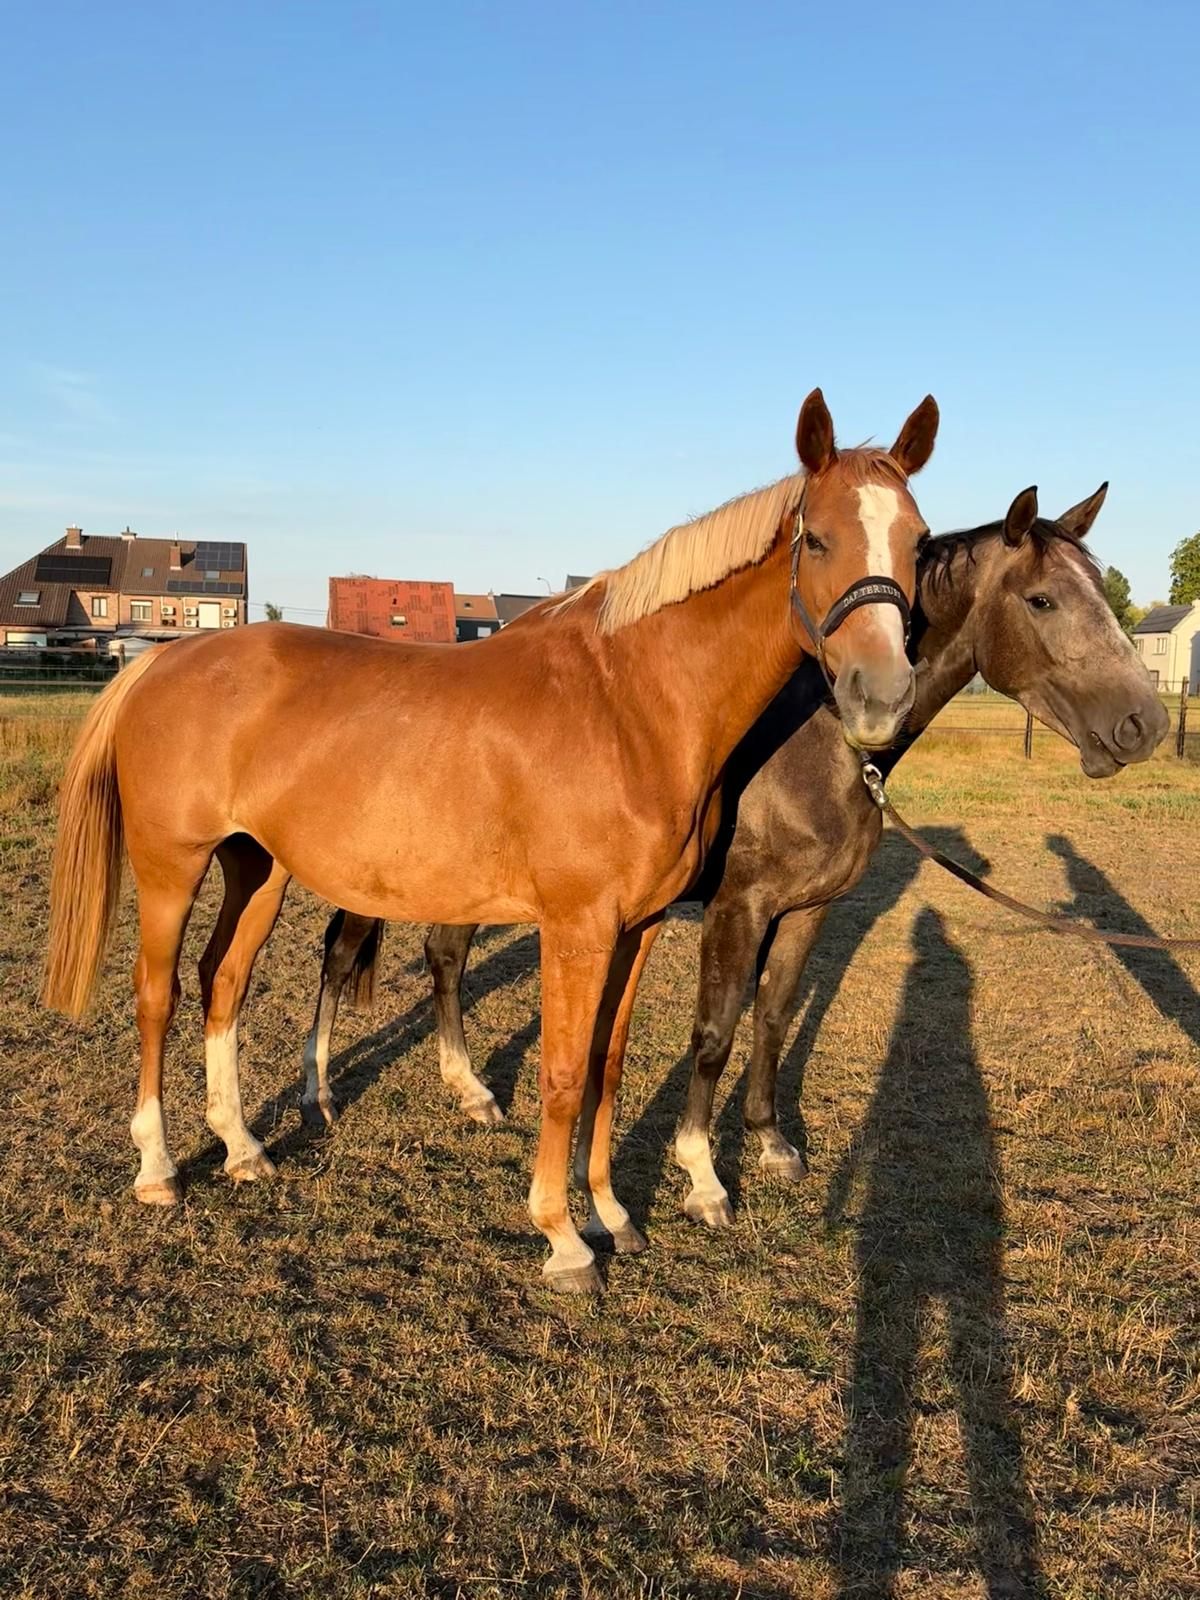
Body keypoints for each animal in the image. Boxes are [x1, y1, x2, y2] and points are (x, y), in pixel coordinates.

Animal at [43, 389, 938, 1291]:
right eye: (816, 538)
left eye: (919, 541)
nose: (881, 696)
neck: (631, 705)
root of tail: (160, 662)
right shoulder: (578, 927)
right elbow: (565, 1075)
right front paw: (564, 1239)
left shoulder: (639, 928)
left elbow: (609, 1065)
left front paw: (612, 1213)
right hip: (172, 868)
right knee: (157, 996)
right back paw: (158, 1168)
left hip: (257, 869)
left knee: (223, 982)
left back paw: (241, 1148)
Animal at [309, 483, 1166, 1237]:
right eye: (1042, 600)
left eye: (1099, 591)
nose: (1145, 723)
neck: (816, 744)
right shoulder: (738, 909)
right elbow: (715, 1032)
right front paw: (701, 1177)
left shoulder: (808, 910)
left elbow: (774, 1018)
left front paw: (770, 1141)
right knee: (425, 956)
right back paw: (458, 1092)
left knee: (437, 952)